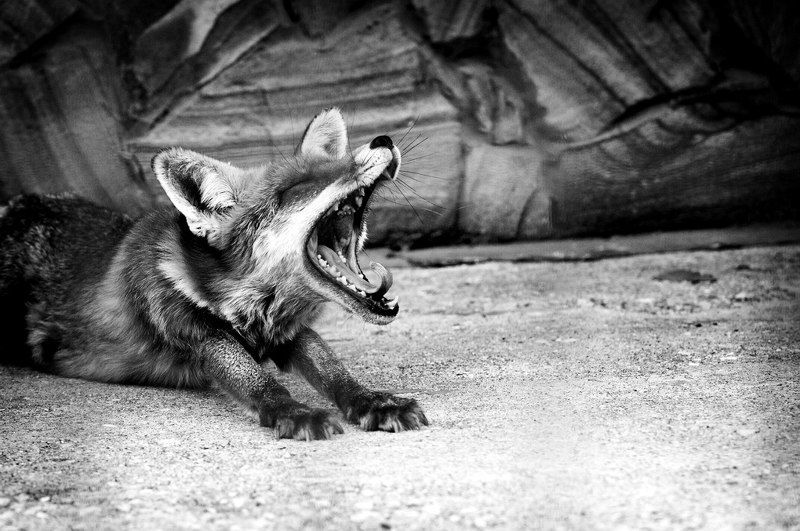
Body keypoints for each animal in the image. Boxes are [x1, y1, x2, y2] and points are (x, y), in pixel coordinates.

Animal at [0, 108, 428, 441]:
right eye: (298, 188)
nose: (383, 140)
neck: (242, 302)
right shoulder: (198, 332)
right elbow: (259, 381)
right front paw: (294, 412)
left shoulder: (288, 332)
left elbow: (333, 370)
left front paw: (373, 401)